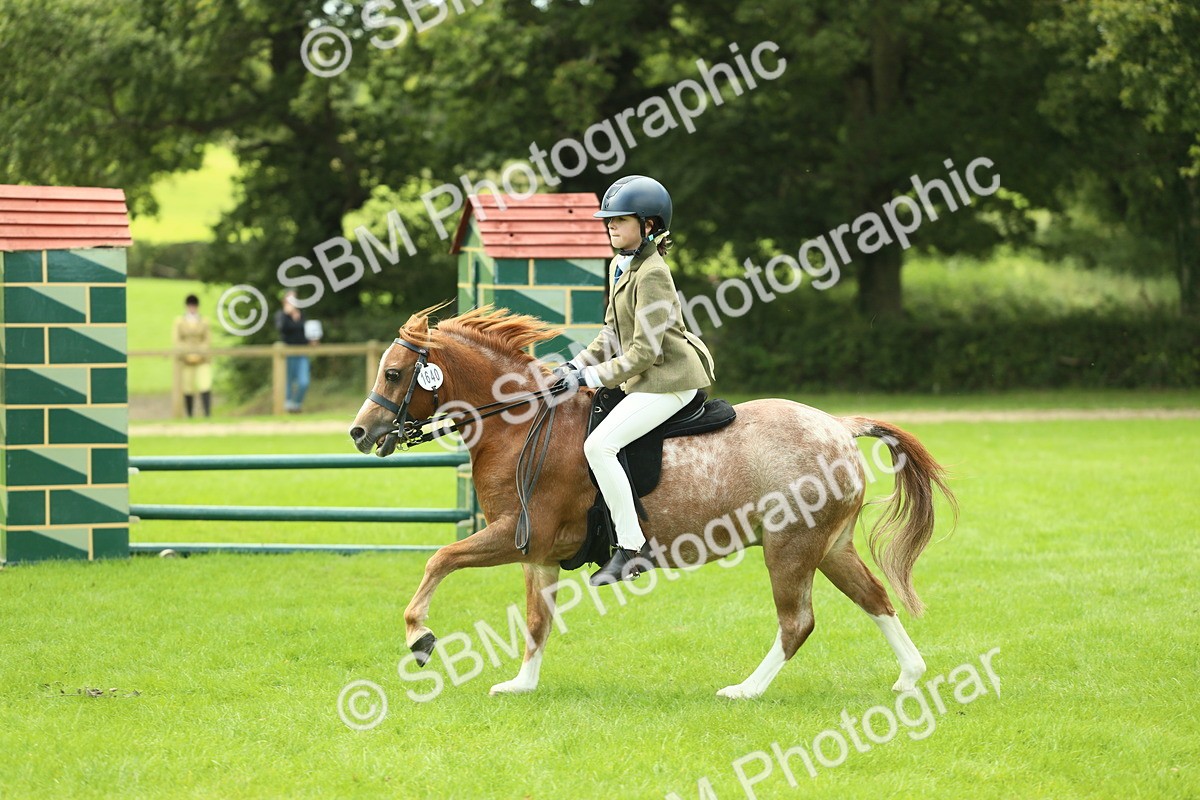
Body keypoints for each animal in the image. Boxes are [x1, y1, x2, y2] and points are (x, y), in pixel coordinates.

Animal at [348, 303, 957, 699]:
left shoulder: (517, 534)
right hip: (829, 547)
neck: (521, 424)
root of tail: (839, 426)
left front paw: (420, 638)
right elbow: (537, 619)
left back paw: (745, 690)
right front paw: (521, 684)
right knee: (875, 599)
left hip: (789, 548)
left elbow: (439, 559)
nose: (359, 433)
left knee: (797, 623)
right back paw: (909, 676)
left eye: (394, 373)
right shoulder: (538, 553)